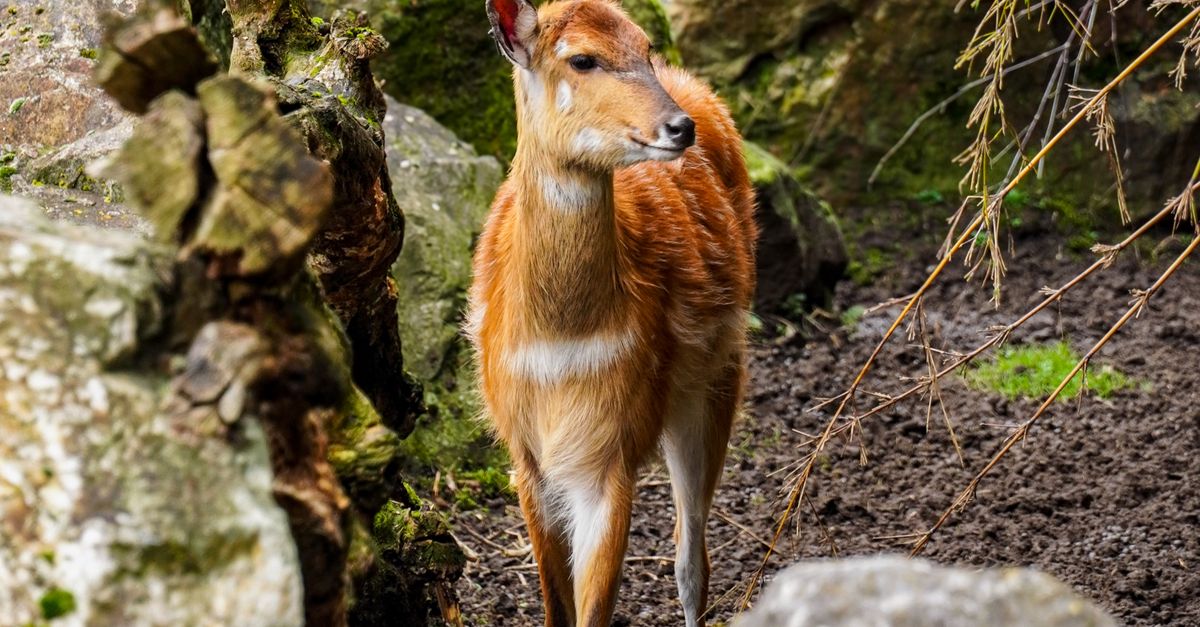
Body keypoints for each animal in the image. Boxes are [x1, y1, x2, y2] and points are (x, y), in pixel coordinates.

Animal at [467, 0, 756, 625]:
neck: (561, 343)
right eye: (582, 59)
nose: (679, 127)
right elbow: (556, 607)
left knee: (691, 557)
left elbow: (593, 607)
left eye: (645, 47)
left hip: (719, 372)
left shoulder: (611, 448)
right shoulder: (526, 453)